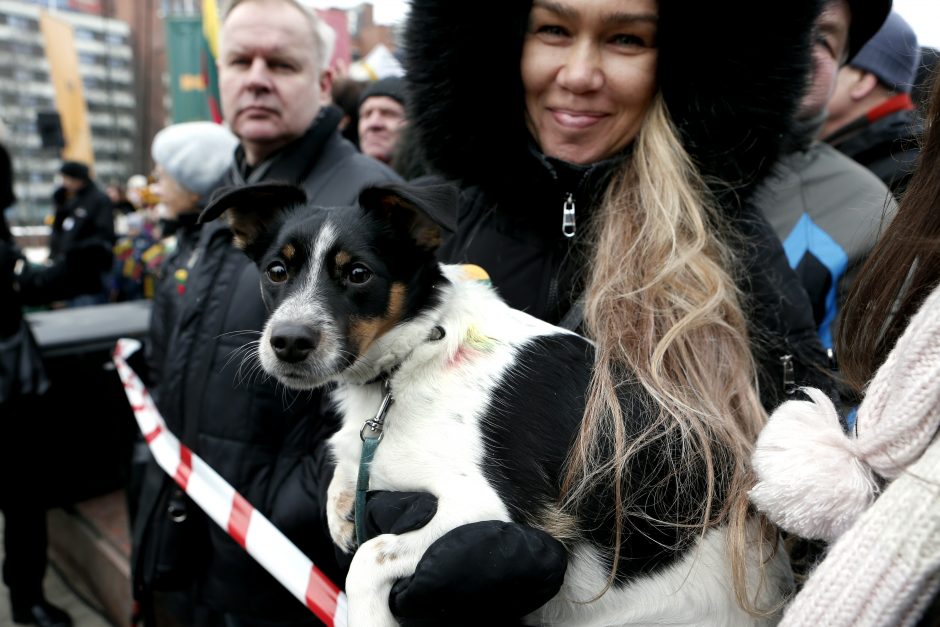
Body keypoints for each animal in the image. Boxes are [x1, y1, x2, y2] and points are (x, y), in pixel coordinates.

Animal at [202, 184, 788, 627]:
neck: (414, 357)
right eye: (276, 271)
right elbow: (346, 489)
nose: (288, 342)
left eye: (359, 273)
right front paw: (343, 507)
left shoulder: (491, 509)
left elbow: (369, 557)